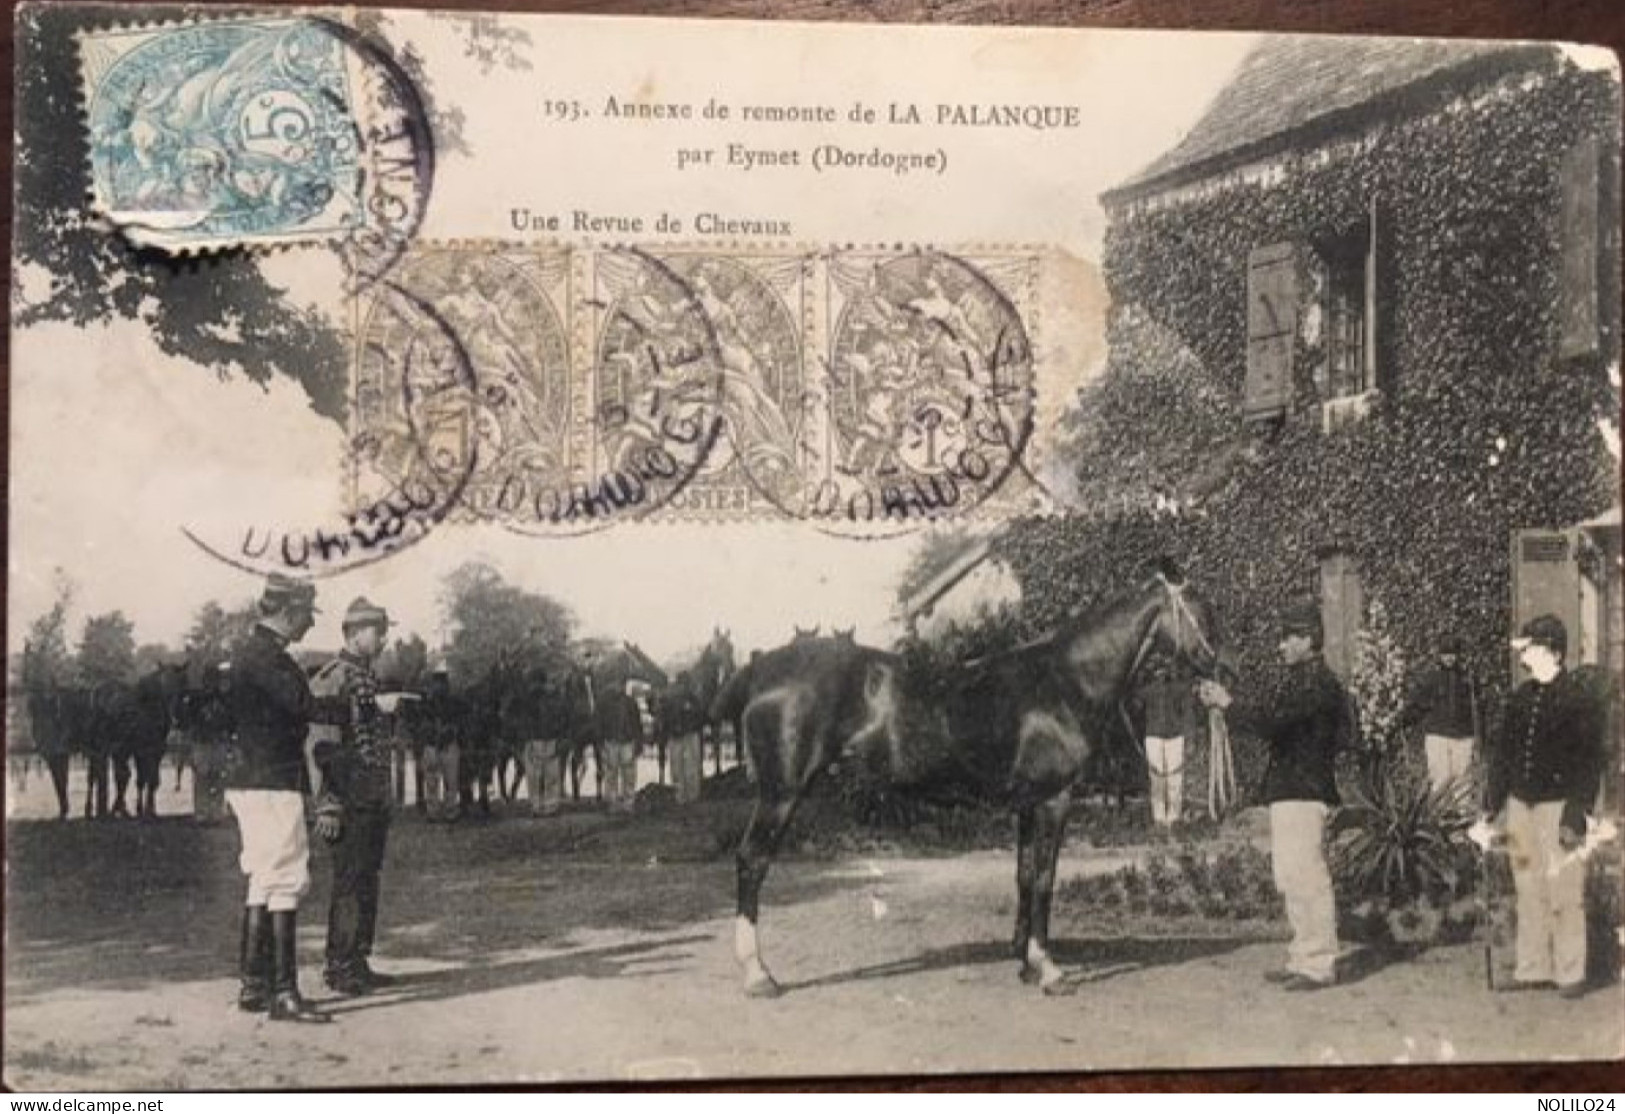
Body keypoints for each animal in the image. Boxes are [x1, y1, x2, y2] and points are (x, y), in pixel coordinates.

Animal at [721, 561, 1222, 1000]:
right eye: (1198, 609)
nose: (1221, 669)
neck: (1066, 679)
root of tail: (762, 671)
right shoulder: (1055, 799)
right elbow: (1045, 878)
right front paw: (1050, 970)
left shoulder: (1028, 803)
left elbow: (1024, 875)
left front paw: (1026, 963)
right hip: (781, 794)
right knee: (751, 861)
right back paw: (758, 975)